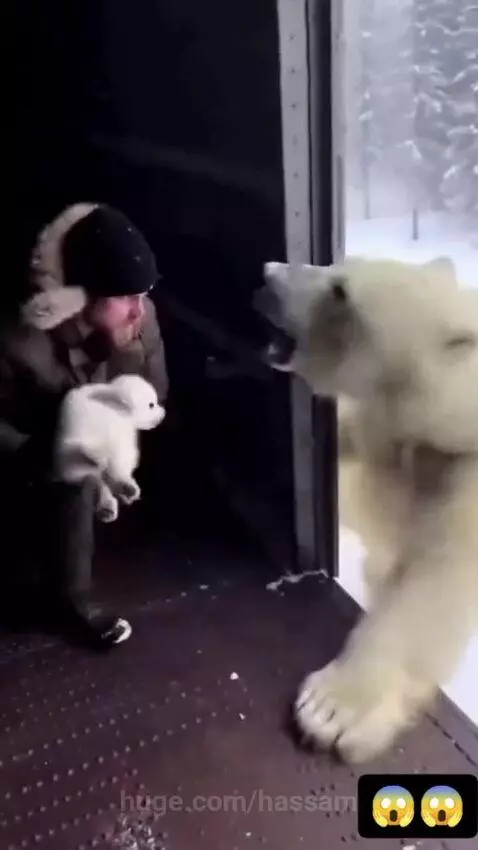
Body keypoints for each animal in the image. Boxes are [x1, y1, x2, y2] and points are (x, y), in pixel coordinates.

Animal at [257, 255, 478, 763]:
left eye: (342, 292)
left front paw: (331, 710)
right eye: (336, 266)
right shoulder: (380, 440)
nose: (268, 273)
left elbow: (435, 583)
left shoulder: (464, 475)